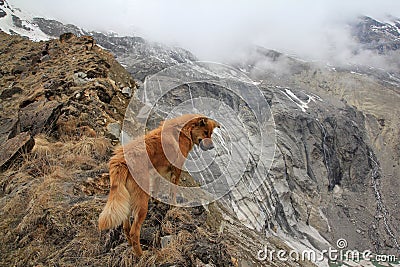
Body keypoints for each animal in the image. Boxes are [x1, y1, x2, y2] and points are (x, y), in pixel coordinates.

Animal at [99, 114, 220, 258]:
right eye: (206, 132)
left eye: (211, 134)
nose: (212, 147)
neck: (184, 131)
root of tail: (121, 160)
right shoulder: (176, 171)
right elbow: (173, 192)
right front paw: (173, 207)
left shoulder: (158, 172)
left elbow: (156, 189)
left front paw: (157, 201)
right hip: (141, 202)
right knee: (134, 231)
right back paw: (141, 254)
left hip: (127, 198)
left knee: (126, 227)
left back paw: (130, 246)